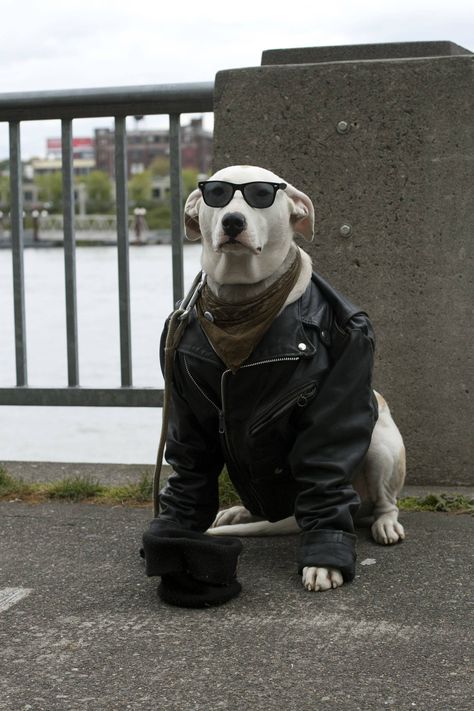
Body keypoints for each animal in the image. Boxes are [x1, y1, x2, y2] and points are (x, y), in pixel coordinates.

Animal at [183, 164, 406, 592]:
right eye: (216, 194)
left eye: (261, 195)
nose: (232, 221)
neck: (242, 299)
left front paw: (323, 561)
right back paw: (240, 512)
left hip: (381, 448)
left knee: (384, 502)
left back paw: (385, 524)